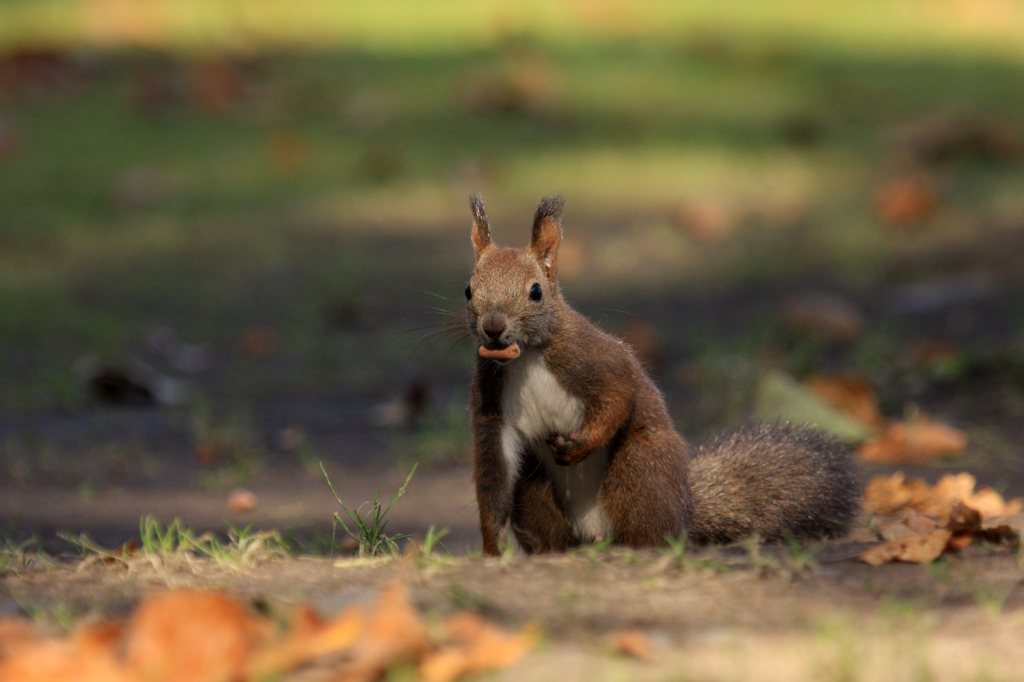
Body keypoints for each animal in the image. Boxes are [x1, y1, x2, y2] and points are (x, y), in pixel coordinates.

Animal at [468, 191, 860, 552]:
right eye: (469, 289)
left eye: (535, 291)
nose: (493, 328)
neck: (526, 358)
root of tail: (684, 509)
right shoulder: (491, 405)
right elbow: (494, 474)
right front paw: (492, 547)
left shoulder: (595, 359)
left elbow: (618, 396)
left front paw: (582, 445)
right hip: (535, 489)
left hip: (642, 467)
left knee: (651, 522)